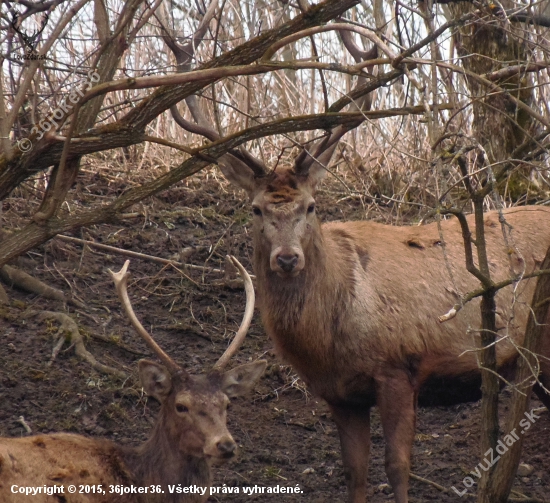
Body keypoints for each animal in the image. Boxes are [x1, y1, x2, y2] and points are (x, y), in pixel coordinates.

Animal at [220, 156, 550, 502]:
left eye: (311, 206)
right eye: (256, 209)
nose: (287, 258)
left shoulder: (399, 368)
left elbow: (397, 465)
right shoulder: (340, 394)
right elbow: (354, 470)